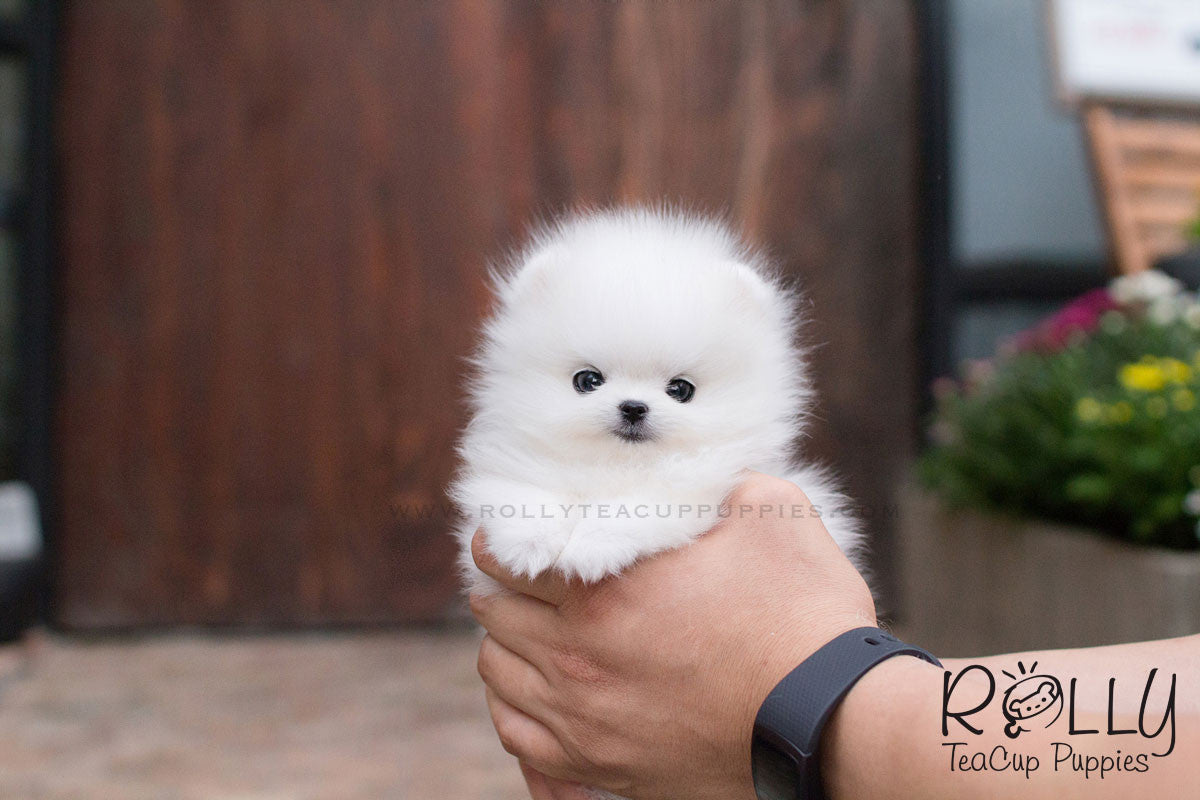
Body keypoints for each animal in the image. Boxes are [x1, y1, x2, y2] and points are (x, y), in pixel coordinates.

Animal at [451, 205, 864, 594]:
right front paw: (527, 545)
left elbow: (639, 506)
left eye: (681, 389)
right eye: (587, 381)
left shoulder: (698, 486)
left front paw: (591, 548)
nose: (633, 407)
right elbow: (524, 492)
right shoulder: (514, 462)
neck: (619, 466)